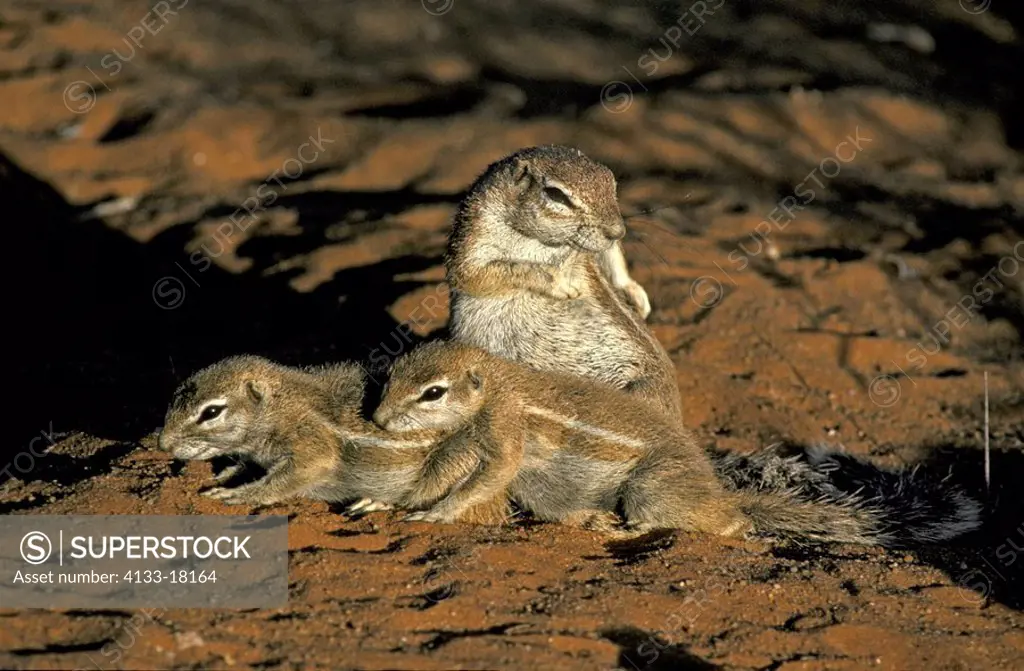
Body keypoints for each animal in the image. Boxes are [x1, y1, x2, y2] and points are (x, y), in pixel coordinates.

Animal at [159, 356, 512, 524]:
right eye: (174, 397)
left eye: (211, 412)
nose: (162, 444)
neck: (281, 403)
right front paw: (226, 475)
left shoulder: (312, 445)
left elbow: (290, 477)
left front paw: (238, 494)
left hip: (455, 459)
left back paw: (378, 502)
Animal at [374, 342, 983, 544]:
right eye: (392, 373)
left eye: (433, 392)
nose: (378, 419)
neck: (495, 384)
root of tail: (718, 490)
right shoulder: (466, 441)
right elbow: (438, 473)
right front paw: (388, 501)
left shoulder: (503, 431)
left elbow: (489, 475)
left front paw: (437, 514)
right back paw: (593, 521)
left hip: (651, 489)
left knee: (727, 525)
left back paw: (641, 527)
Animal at [446, 145, 679, 422]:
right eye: (556, 194)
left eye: (610, 180)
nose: (617, 231)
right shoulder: (476, 234)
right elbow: (487, 272)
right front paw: (559, 283)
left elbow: (612, 257)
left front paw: (635, 295)